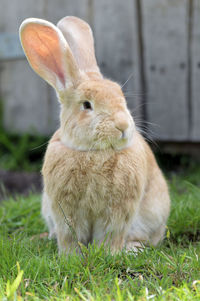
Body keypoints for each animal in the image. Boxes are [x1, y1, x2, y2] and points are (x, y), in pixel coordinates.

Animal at [19, 15, 170, 253]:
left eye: (120, 95)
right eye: (87, 105)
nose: (122, 125)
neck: (93, 153)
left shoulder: (117, 212)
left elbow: (110, 235)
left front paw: (108, 254)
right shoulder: (65, 212)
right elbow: (70, 237)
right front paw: (71, 256)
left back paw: (132, 249)